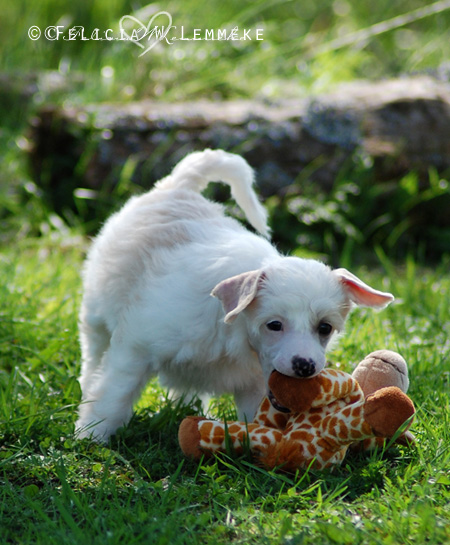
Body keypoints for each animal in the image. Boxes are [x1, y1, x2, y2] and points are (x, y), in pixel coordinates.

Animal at [75, 147, 392, 440]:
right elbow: (115, 392)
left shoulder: (255, 385)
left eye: (325, 328)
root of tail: (179, 187)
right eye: (274, 325)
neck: (235, 330)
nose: (305, 366)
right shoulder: (136, 348)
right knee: (94, 355)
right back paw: (88, 387)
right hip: (96, 313)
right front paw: (93, 434)